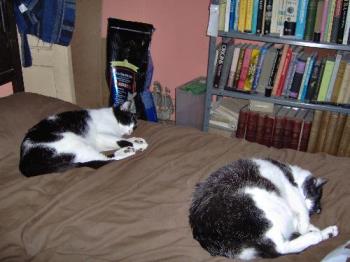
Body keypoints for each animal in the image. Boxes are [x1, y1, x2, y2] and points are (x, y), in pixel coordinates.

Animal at [19, 101, 148, 177]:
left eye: (134, 127)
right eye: (128, 121)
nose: (130, 131)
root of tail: (24, 164)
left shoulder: (100, 142)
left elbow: (120, 140)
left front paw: (137, 139)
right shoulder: (102, 135)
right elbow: (121, 140)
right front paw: (138, 144)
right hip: (73, 142)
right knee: (100, 162)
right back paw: (127, 151)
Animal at [189, 158, 340, 260]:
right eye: (311, 196)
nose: (317, 208)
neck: (290, 173)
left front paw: (313, 228)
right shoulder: (293, 193)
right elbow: (302, 215)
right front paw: (308, 227)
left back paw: (327, 232)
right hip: (261, 210)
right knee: (280, 248)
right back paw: (316, 236)